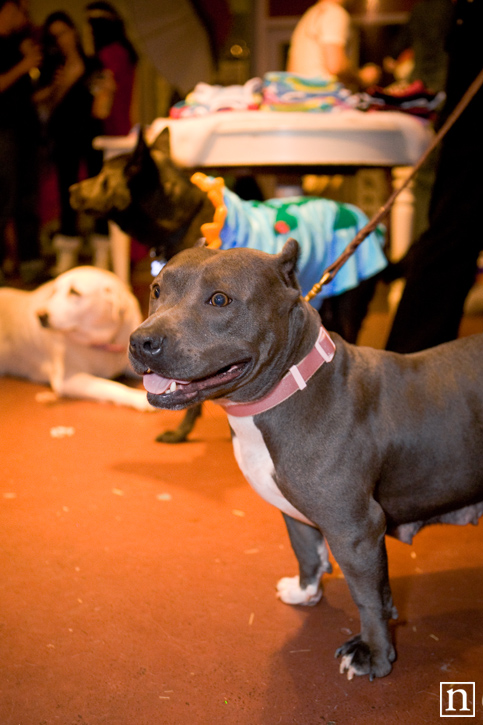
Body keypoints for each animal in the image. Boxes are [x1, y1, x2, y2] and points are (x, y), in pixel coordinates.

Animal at [0, 268, 153, 412]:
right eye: (54, 291)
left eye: (74, 292)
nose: (40, 315)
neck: (103, 342)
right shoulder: (68, 380)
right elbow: (110, 385)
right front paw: (139, 398)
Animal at [129, 238, 483, 680]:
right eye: (157, 290)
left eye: (220, 299)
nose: (141, 341)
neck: (287, 389)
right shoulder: (294, 510)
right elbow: (306, 551)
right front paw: (305, 592)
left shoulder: (356, 529)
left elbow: (368, 597)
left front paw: (374, 654)